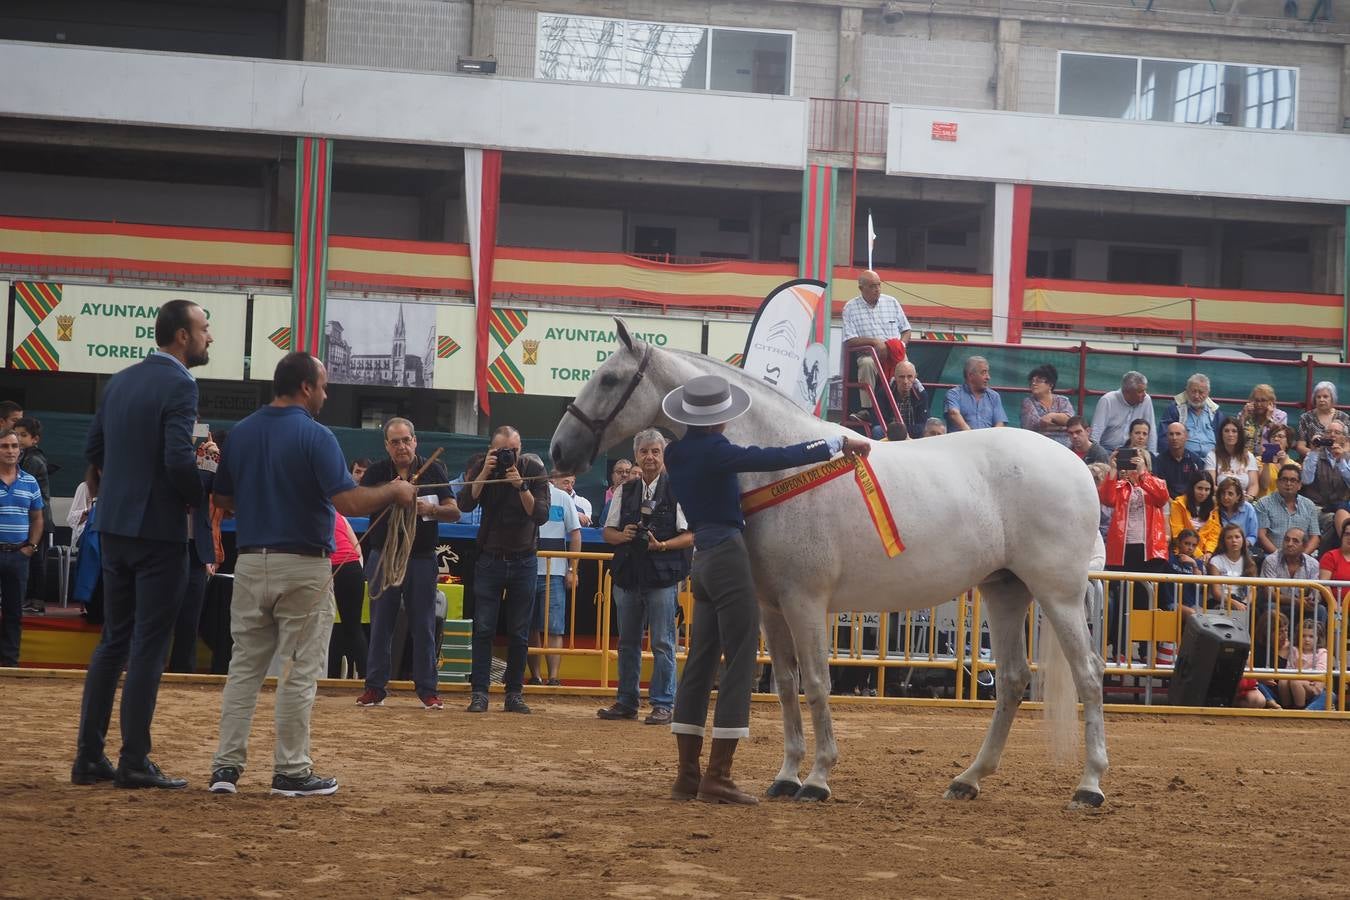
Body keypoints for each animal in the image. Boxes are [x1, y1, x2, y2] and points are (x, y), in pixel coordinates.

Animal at [548, 322, 1107, 809]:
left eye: (610, 379)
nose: (559, 451)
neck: (781, 469)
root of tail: (1077, 466)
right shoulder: (772, 607)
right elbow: (786, 686)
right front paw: (785, 777)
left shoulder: (805, 601)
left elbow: (817, 683)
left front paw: (817, 779)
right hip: (1005, 589)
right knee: (1012, 680)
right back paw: (969, 779)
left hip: (1056, 594)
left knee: (1089, 674)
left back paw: (1089, 787)